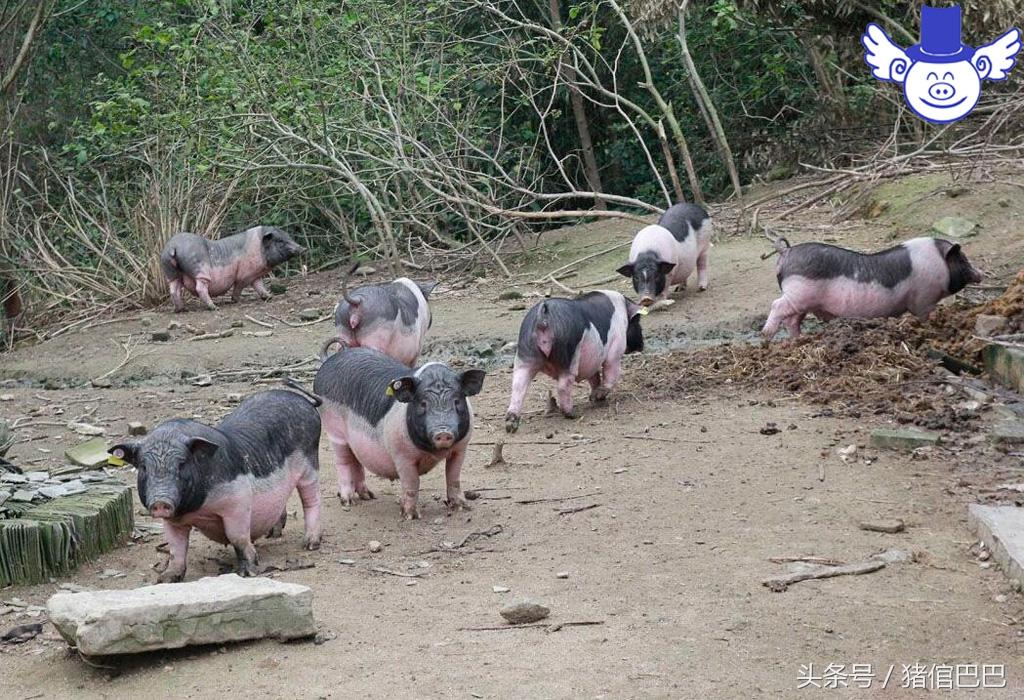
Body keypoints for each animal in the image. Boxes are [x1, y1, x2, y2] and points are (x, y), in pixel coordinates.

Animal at [110, 388, 321, 581]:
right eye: (144, 467)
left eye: (182, 464)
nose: (160, 501)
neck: (196, 509)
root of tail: (305, 402)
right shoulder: (173, 520)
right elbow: (175, 548)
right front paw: (166, 579)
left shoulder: (238, 501)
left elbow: (237, 537)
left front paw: (247, 573)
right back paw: (273, 535)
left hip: (310, 464)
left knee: (311, 500)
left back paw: (310, 544)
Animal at [157, 225, 303, 313]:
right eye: (280, 241)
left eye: (289, 237)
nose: (302, 248)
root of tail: (173, 247)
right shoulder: (245, 274)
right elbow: (240, 286)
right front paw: (235, 300)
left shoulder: (255, 275)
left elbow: (259, 286)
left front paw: (269, 297)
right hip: (199, 269)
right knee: (200, 288)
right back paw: (214, 307)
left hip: (171, 272)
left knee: (174, 289)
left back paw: (181, 310)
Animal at [309, 347, 485, 519]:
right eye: (423, 403)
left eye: (457, 401)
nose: (443, 432)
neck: (433, 452)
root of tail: (329, 360)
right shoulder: (402, 455)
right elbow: (412, 483)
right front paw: (411, 516)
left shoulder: (461, 448)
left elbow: (453, 476)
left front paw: (462, 507)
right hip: (335, 432)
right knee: (343, 462)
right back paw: (348, 501)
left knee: (356, 462)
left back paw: (368, 496)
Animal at [503, 288, 638, 431]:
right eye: (637, 321)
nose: (640, 345)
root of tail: (542, 316)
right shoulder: (616, 348)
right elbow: (611, 371)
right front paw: (598, 396)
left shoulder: (592, 360)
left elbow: (594, 377)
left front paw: (595, 398)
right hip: (568, 353)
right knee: (563, 385)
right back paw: (572, 414)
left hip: (525, 353)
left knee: (518, 384)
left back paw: (511, 424)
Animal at [765, 237, 978, 341]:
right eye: (963, 260)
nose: (980, 273)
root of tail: (787, 251)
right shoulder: (924, 298)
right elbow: (925, 316)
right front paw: (929, 328)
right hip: (797, 294)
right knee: (777, 306)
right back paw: (766, 336)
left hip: (802, 301)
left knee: (792, 320)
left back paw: (798, 339)